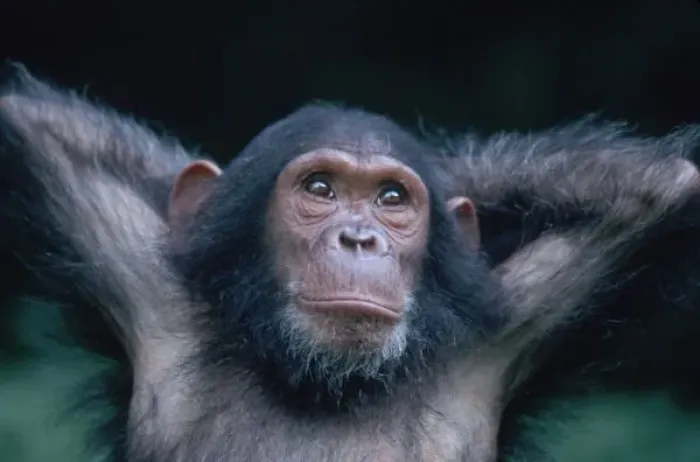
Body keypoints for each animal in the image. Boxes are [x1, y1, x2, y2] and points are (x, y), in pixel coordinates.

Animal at [1, 66, 699, 462]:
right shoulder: (136, 280)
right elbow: (33, 123)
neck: (321, 383)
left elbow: (667, 185)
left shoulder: (516, 325)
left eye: (392, 199)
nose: (360, 238)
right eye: (320, 189)